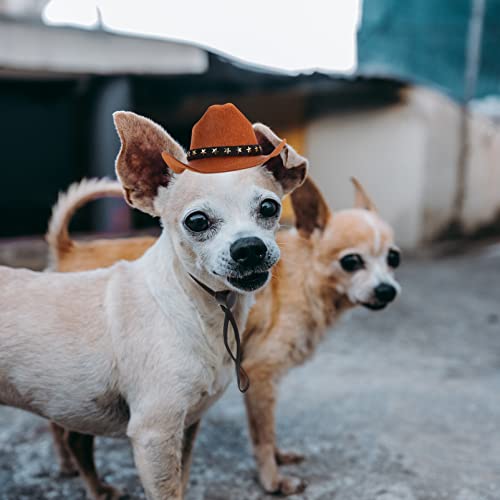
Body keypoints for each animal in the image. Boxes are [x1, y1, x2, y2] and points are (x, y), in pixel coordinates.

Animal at [0, 107, 306, 498]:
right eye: (197, 221)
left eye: (269, 207)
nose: (249, 247)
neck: (200, 310)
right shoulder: (155, 435)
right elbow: (167, 491)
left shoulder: (187, 424)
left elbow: (182, 480)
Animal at [46, 174, 398, 494]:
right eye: (351, 262)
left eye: (393, 258)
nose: (388, 290)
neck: (305, 273)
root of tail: (67, 248)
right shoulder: (260, 376)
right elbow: (263, 434)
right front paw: (273, 481)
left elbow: (267, 431)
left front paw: (279, 458)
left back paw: (66, 465)